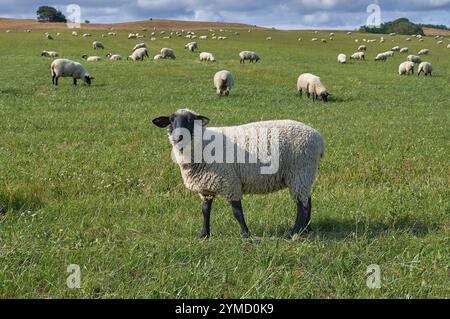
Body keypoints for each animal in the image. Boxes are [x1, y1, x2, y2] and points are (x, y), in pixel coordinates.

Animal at [151, 109, 324, 238]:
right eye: (171, 120)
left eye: (191, 120)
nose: (178, 137)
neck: (203, 146)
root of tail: (318, 138)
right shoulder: (206, 187)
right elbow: (205, 211)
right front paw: (204, 234)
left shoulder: (229, 182)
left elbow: (237, 212)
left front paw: (246, 235)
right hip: (304, 175)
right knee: (307, 201)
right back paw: (306, 229)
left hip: (300, 171)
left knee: (301, 206)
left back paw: (293, 233)